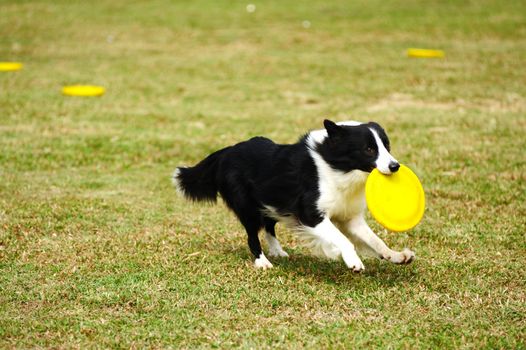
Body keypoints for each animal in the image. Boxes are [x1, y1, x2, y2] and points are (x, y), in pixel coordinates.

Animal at [175, 119, 418, 270]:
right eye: (369, 149)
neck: (336, 166)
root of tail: (227, 151)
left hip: (270, 200)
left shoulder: (350, 217)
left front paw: (396, 255)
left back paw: (277, 251)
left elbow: (375, 240)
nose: (395, 166)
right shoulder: (311, 214)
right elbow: (343, 239)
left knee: (269, 226)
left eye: (386, 146)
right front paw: (351, 260)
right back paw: (262, 262)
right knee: (252, 234)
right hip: (247, 206)